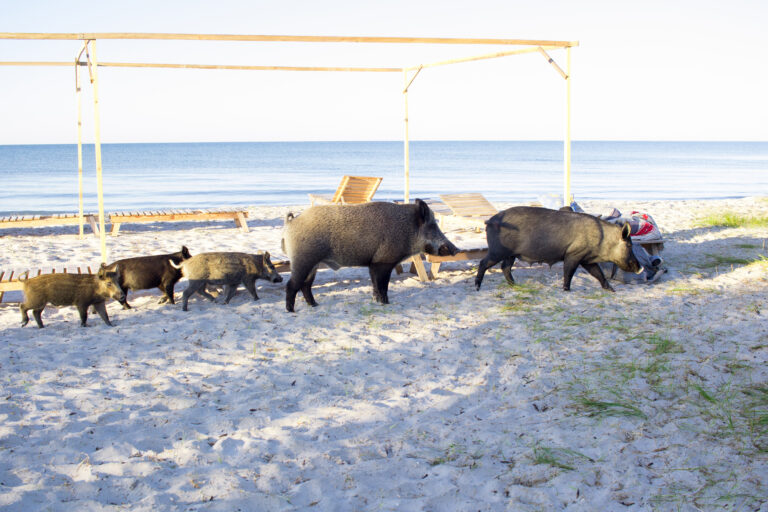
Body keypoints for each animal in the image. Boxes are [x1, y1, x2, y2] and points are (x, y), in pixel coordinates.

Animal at [281, 199, 459, 312]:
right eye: (433, 225)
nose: (456, 249)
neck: (407, 230)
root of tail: (291, 222)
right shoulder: (383, 262)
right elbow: (382, 286)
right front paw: (386, 304)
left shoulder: (374, 264)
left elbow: (376, 285)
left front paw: (377, 302)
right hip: (303, 260)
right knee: (292, 285)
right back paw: (291, 311)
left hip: (313, 264)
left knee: (305, 285)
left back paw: (315, 305)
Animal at [475, 206, 641, 292]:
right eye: (629, 245)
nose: (640, 268)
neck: (602, 240)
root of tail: (489, 221)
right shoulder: (573, 254)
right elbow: (569, 272)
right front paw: (566, 289)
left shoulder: (586, 259)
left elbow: (598, 273)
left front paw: (611, 290)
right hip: (497, 251)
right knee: (484, 263)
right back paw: (477, 287)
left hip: (511, 254)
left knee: (505, 267)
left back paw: (515, 285)